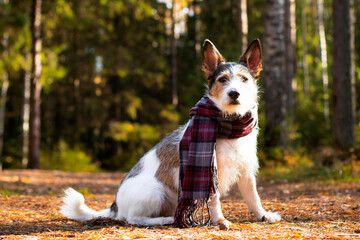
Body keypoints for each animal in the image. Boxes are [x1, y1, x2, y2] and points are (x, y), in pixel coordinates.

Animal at [60, 39, 282, 231]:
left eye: (244, 79)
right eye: (222, 80)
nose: (234, 93)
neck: (230, 123)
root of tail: (114, 205)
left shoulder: (246, 171)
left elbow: (253, 198)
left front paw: (264, 216)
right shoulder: (210, 173)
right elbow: (214, 200)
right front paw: (220, 221)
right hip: (156, 192)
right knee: (134, 218)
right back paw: (165, 219)